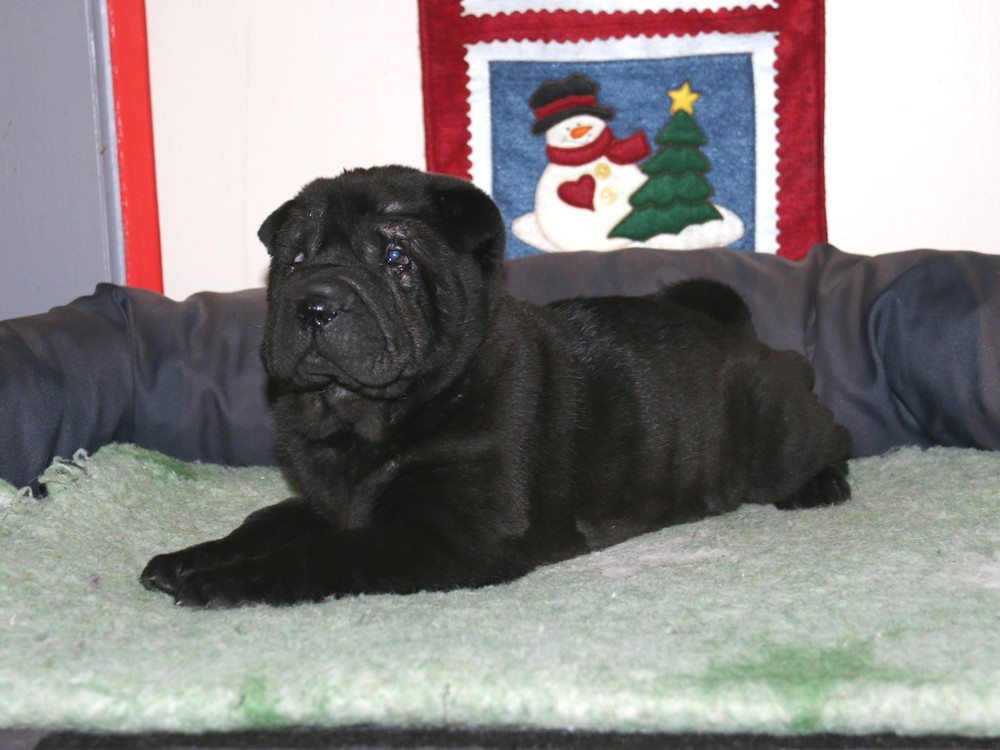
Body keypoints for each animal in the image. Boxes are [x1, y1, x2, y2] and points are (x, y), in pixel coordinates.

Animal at [141, 165, 852, 607]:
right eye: (293, 258)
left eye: (395, 259)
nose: (314, 302)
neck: (357, 421)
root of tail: (746, 336)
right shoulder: (325, 500)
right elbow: (265, 521)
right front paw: (188, 558)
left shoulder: (445, 534)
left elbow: (321, 556)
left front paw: (221, 583)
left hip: (778, 432)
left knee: (832, 432)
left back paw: (823, 485)